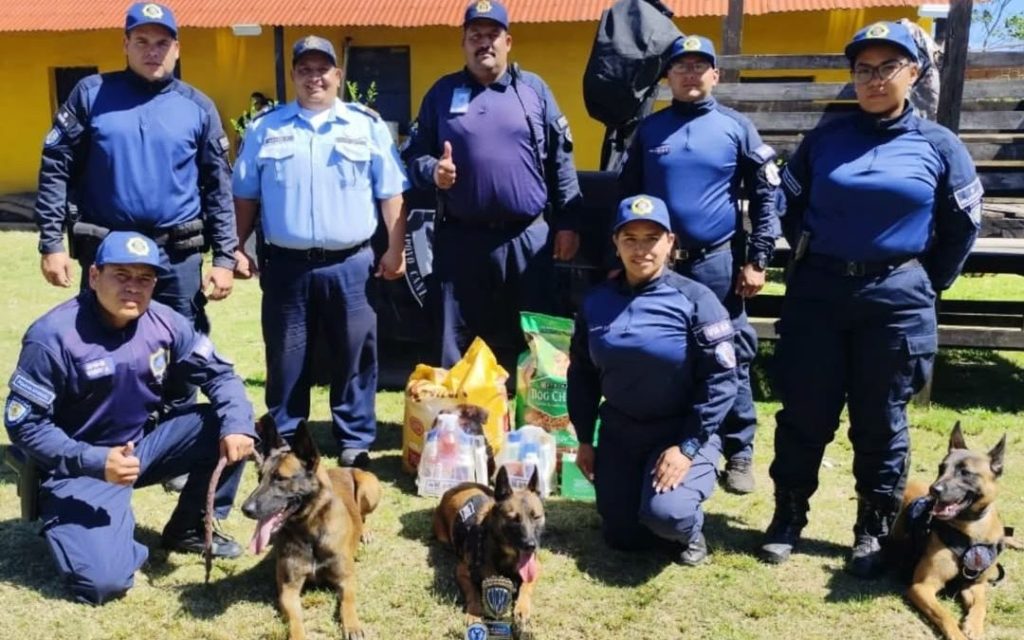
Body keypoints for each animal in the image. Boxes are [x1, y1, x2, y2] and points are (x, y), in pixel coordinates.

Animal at [241, 413, 382, 638]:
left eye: (280, 479)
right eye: (259, 477)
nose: (245, 509)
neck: (310, 532)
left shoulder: (346, 578)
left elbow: (348, 602)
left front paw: (352, 625)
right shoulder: (288, 589)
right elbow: (295, 620)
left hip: (369, 487)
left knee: (363, 515)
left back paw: (365, 531)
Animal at [432, 460, 544, 626]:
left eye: (536, 517)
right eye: (513, 519)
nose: (531, 546)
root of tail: (456, 487)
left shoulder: (536, 569)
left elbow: (525, 587)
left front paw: (522, 607)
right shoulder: (462, 571)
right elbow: (474, 593)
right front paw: (475, 612)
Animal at [892, 421, 1019, 634]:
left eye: (965, 473)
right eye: (941, 468)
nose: (934, 490)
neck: (970, 528)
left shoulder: (975, 585)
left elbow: (981, 605)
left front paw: (973, 626)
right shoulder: (922, 587)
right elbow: (945, 616)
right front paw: (958, 634)